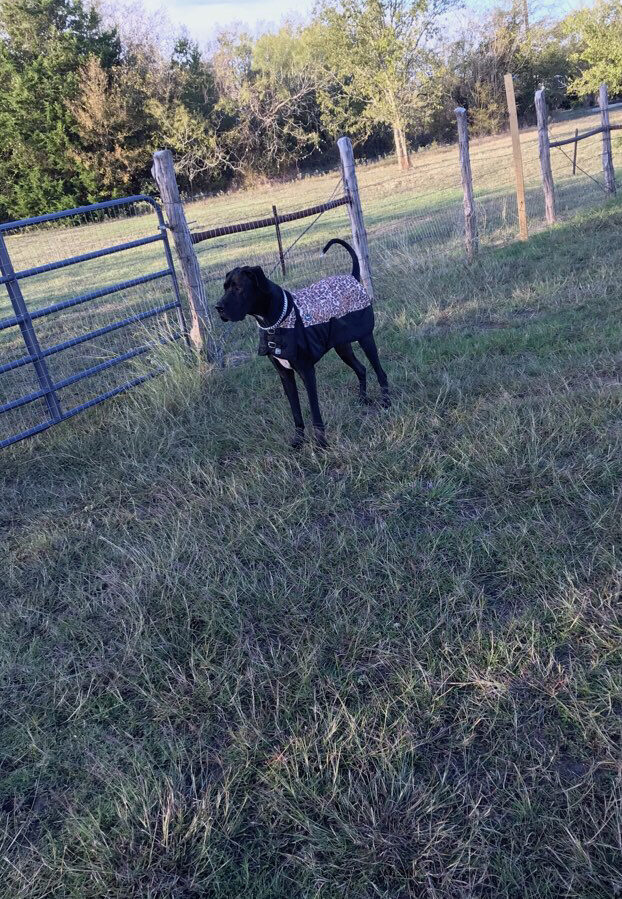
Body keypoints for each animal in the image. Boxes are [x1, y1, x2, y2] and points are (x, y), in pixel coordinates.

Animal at [216, 241, 390, 448]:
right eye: (225, 288)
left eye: (238, 288)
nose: (218, 308)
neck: (276, 319)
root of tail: (353, 277)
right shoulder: (285, 374)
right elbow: (296, 411)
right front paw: (299, 440)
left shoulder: (306, 372)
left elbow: (314, 411)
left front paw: (321, 443)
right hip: (342, 347)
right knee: (361, 369)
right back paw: (363, 399)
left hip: (365, 339)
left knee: (380, 371)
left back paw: (386, 402)